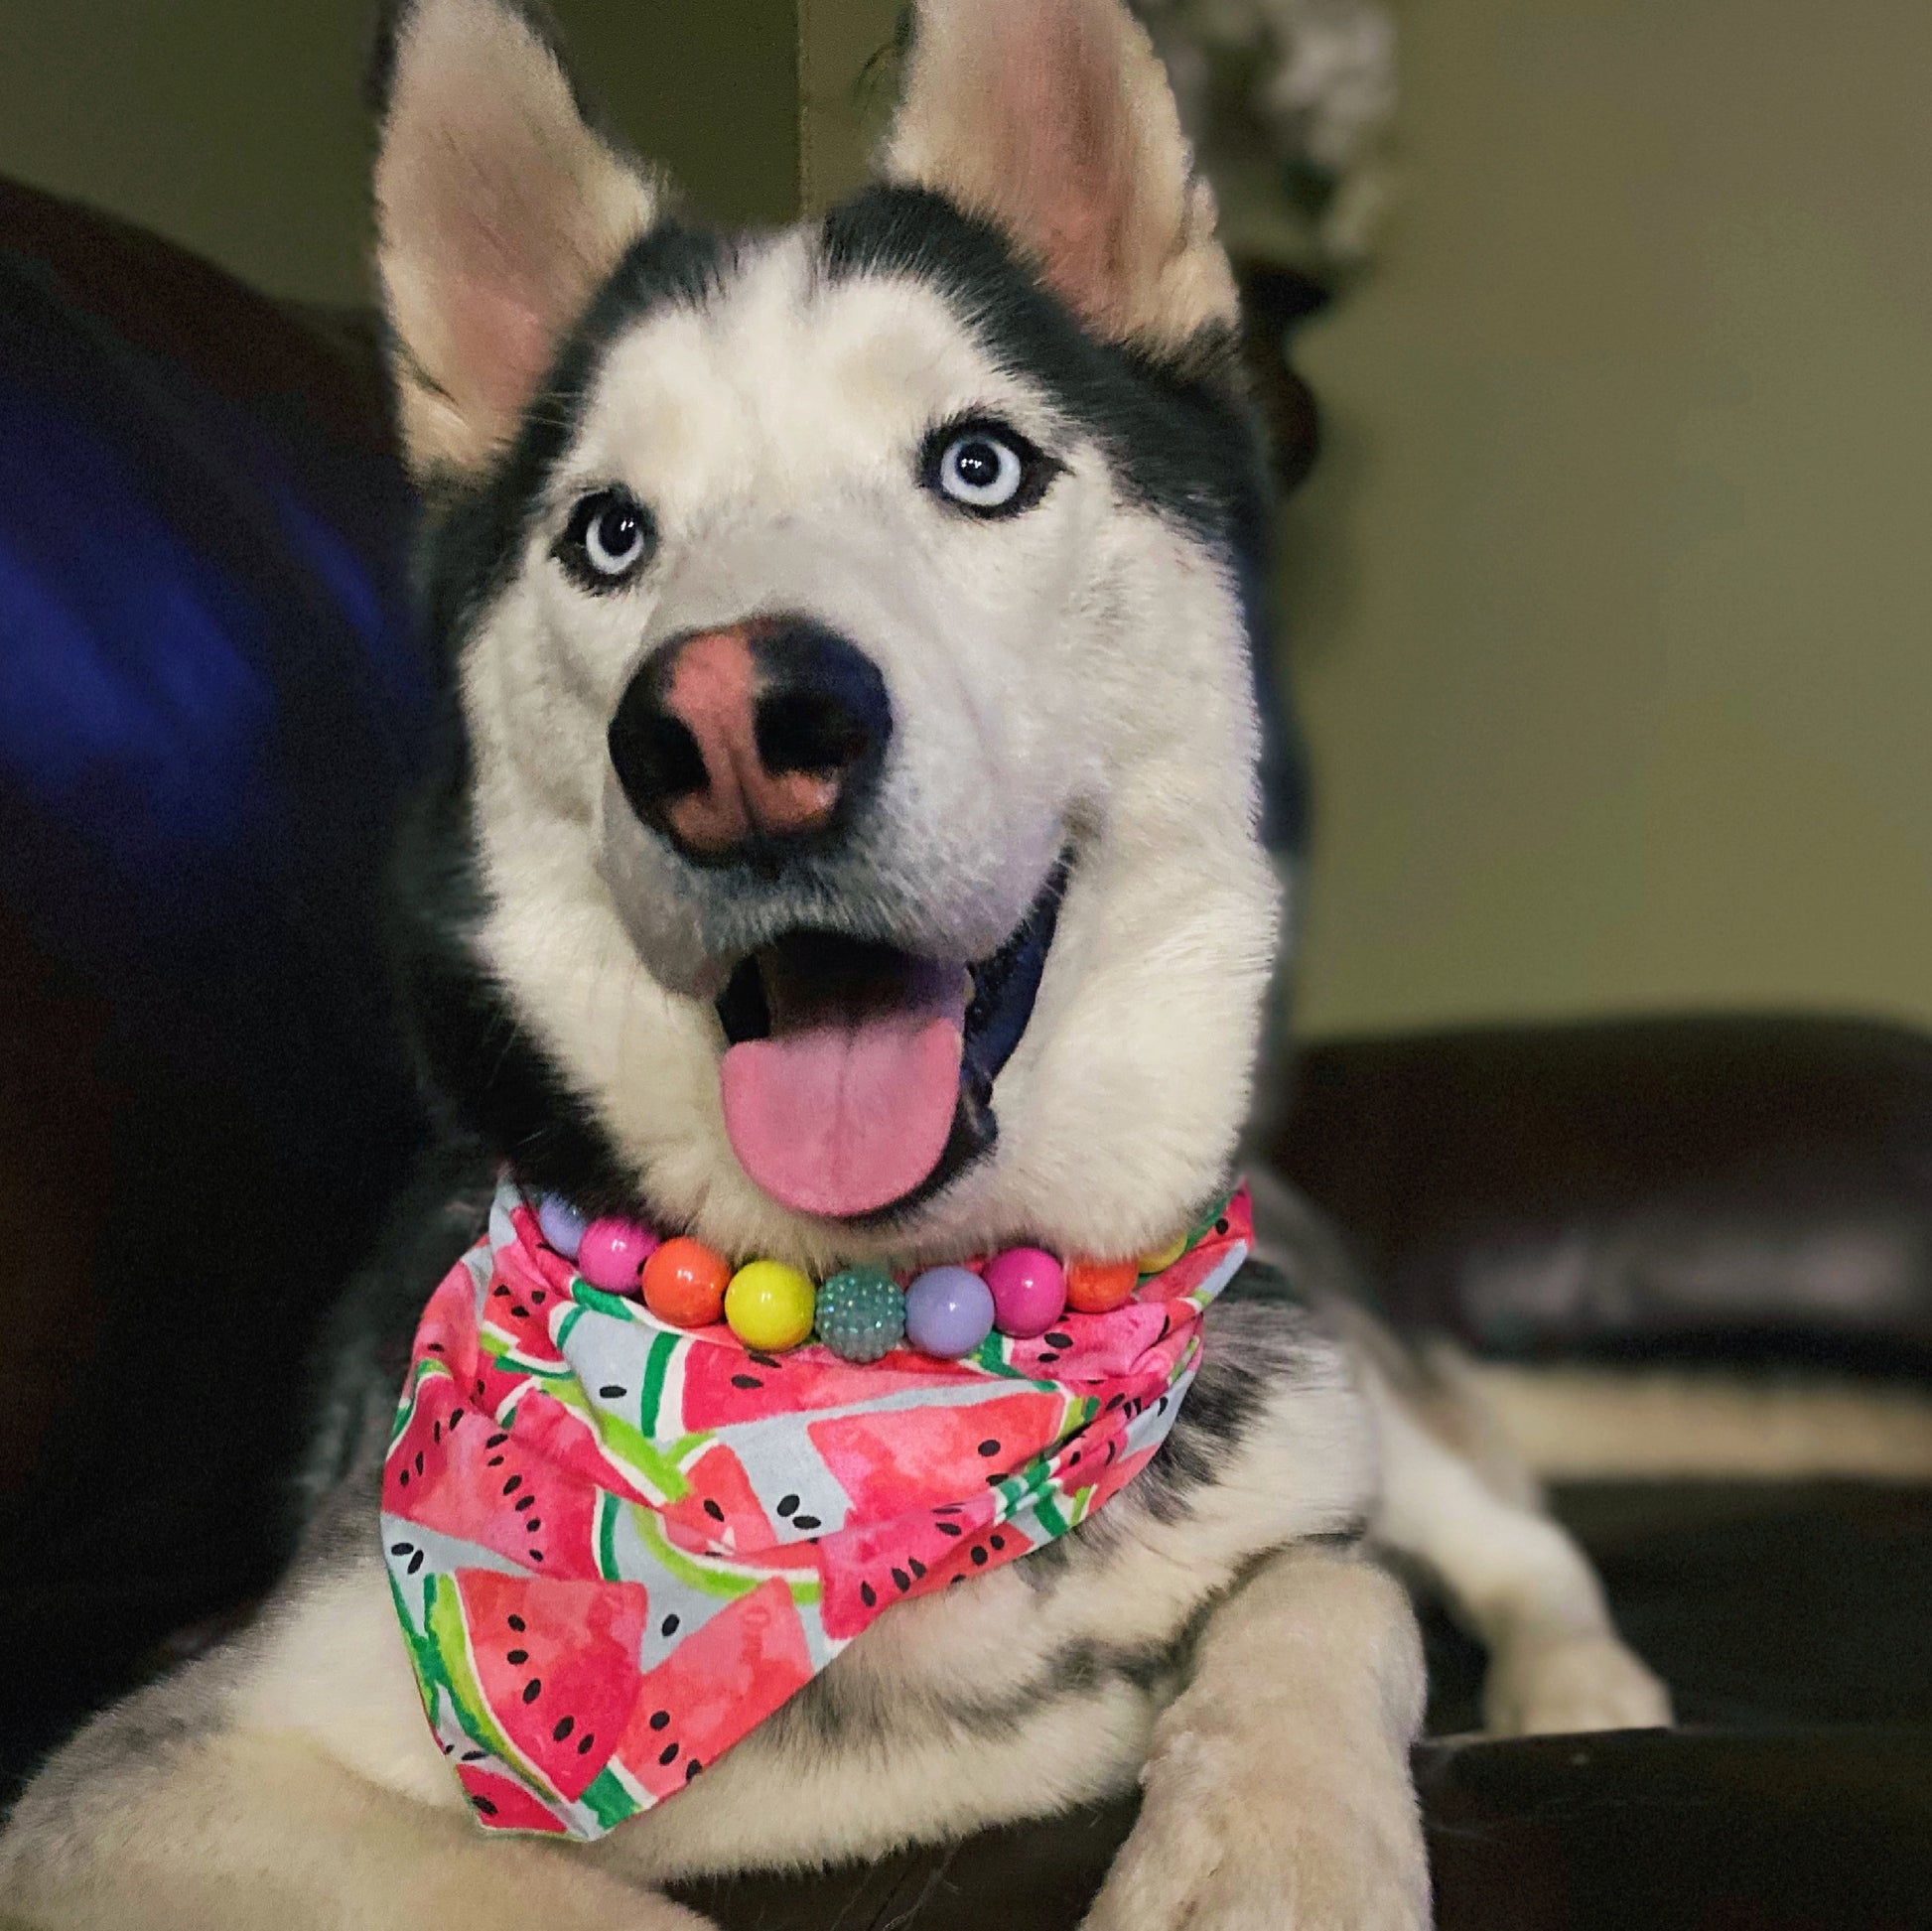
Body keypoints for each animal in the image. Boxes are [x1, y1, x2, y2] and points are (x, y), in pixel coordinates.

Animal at [0, 3, 1661, 1931]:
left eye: (979, 464)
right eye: (609, 534)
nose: (728, 732)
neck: (903, 1362)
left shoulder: (1298, 1469)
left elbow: (1330, 1591)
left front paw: (1269, 1855)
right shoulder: (150, 1771)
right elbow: (568, 1899)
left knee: (1512, 1530)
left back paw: (1587, 1691)